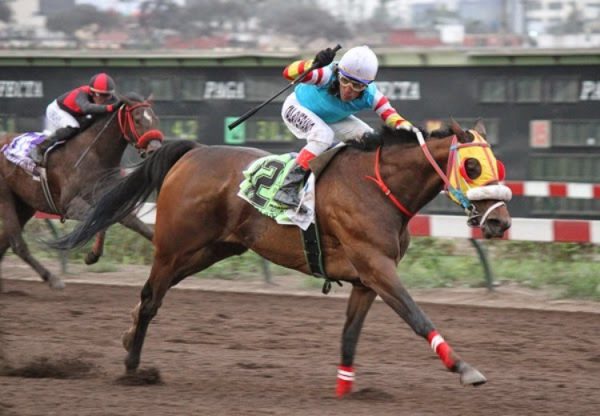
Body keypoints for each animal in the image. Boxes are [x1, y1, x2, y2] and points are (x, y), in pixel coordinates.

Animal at [0, 94, 164, 290]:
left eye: (155, 118)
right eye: (138, 119)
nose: (155, 149)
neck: (96, 154)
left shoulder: (110, 198)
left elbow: (132, 223)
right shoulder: (70, 205)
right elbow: (99, 220)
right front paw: (92, 254)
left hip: (25, 204)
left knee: (5, 242)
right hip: (6, 197)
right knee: (17, 244)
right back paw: (52, 279)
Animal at [52, 121, 510, 396]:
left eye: (498, 164)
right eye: (471, 166)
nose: (499, 222)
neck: (378, 186)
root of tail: (193, 152)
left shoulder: (367, 278)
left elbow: (350, 333)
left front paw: (346, 388)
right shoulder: (377, 266)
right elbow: (417, 316)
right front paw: (465, 368)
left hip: (211, 249)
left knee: (152, 297)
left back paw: (129, 337)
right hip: (174, 245)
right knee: (150, 299)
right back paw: (132, 364)